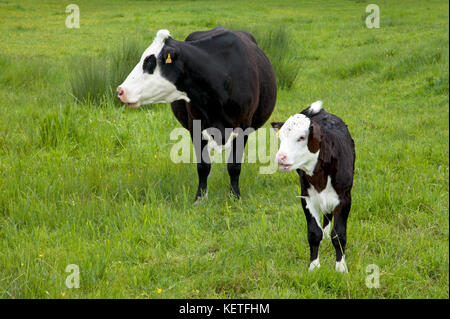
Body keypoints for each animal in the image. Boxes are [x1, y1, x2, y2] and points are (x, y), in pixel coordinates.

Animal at [118, 27, 276, 202]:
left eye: (150, 62)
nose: (120, 90)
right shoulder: (196, 127)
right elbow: (203, 166)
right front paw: (200, 198)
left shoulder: (243, 127)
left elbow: (234, 166)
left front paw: (235, 197)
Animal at [270, 102, 356, 272]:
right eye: (281, 138)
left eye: (301, 137)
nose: (280, 157)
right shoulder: (307, 198)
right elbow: (314, 233)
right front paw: (314, 266)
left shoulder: (344, 198)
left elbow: (339, 234)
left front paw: (341, 267)